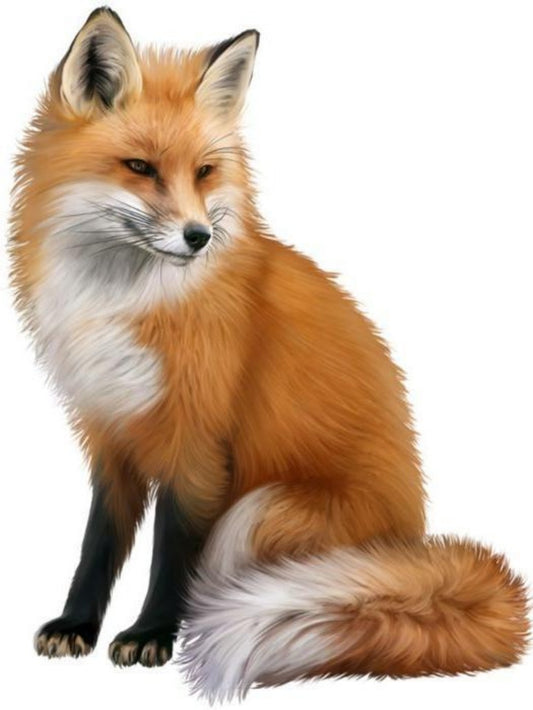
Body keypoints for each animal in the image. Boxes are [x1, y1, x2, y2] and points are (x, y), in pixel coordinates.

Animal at [8, 5, 529, 702]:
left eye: (204, 172)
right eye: (140, 167)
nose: (199, 237)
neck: (126, 300)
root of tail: (411, 539)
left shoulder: (198, 440)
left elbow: (170, 552)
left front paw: (151, 635)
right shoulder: (108, 429)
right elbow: (99, 542)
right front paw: (76, 625)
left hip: (257, 510)